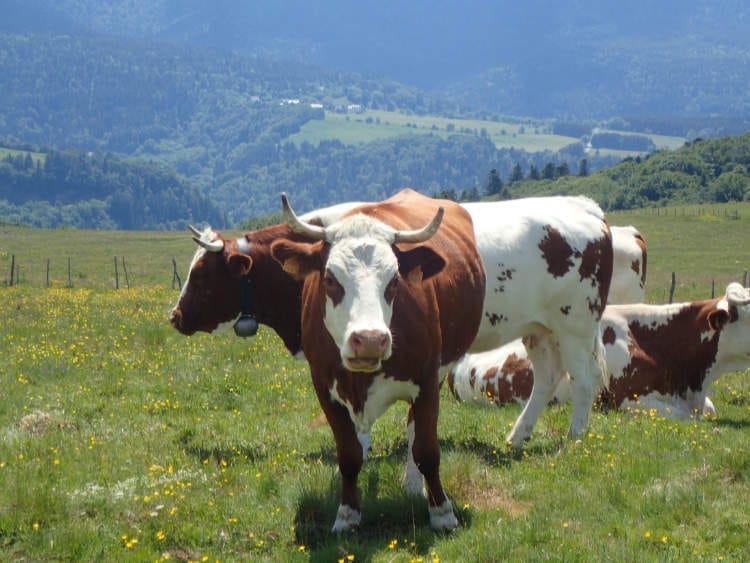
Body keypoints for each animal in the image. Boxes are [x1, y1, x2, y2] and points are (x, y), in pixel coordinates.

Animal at [269, 189, 486, 532]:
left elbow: (427, 450)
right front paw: (347, 514)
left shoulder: (427, 381)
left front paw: (442, 512)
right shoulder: (323, 387)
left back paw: (414, 484)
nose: (370, 339)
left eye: (394, 280)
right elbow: (348, 455)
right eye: (330, 279)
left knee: (413, 431)